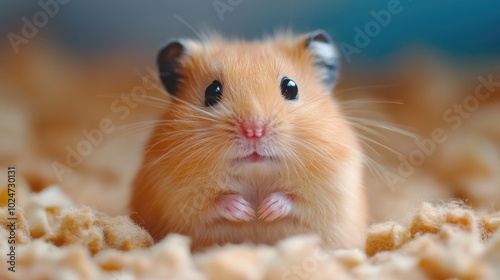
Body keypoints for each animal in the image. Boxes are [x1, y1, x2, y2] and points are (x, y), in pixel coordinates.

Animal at [130, 29, 368, 250]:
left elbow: (296, 199)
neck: (255, 175)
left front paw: (264, 211)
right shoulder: (175, 197)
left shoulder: (330, 190)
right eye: (212, 91)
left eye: (291, 87)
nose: (254, 131)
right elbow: (212, 203)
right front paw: (246, 212)